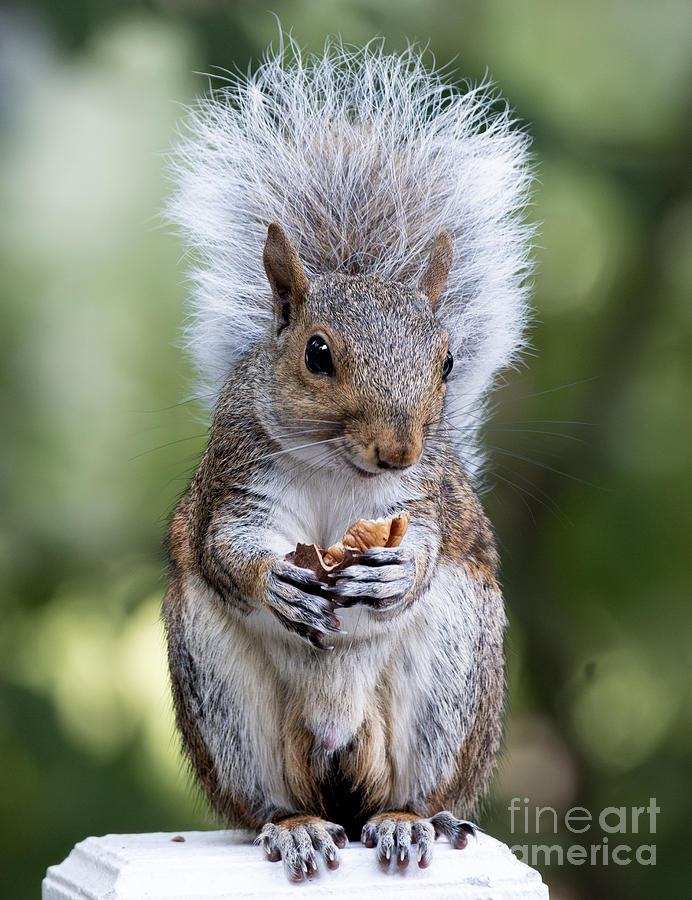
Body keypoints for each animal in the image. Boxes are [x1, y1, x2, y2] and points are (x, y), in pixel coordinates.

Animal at [164, 35, 536, 880]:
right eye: (317, 352)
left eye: (447, 363)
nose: (397, 447)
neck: (340, 471)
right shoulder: (237, 477)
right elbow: (226, 545)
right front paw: (277, 579)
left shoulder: (422, 497)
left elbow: (426, 544)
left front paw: (395, 573)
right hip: (219, 691)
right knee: (271, 801)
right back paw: (296, 826)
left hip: (455, 672)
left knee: (414, 794)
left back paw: (408, 822)